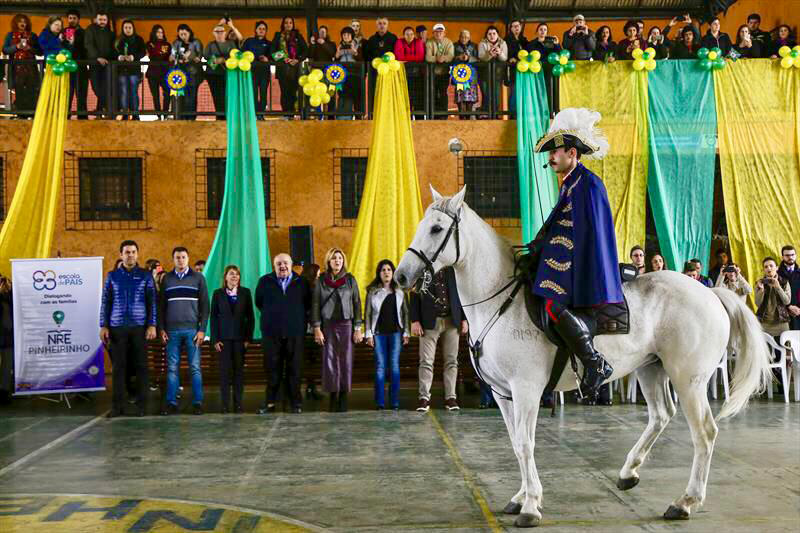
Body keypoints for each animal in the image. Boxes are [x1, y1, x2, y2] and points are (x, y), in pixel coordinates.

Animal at [396, 185, 772, 524]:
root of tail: (712, 294)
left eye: (436, 228)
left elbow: (526, 443)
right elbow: (516, 443)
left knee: (704, 433)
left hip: (689, 380)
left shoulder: (526, 389)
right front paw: (521, 497)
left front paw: (531, 506)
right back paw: (629, 472)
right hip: (651, 370)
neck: (499, 301)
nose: (401, 275)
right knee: (661, 416)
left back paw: (685, 502)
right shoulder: (503, 394)